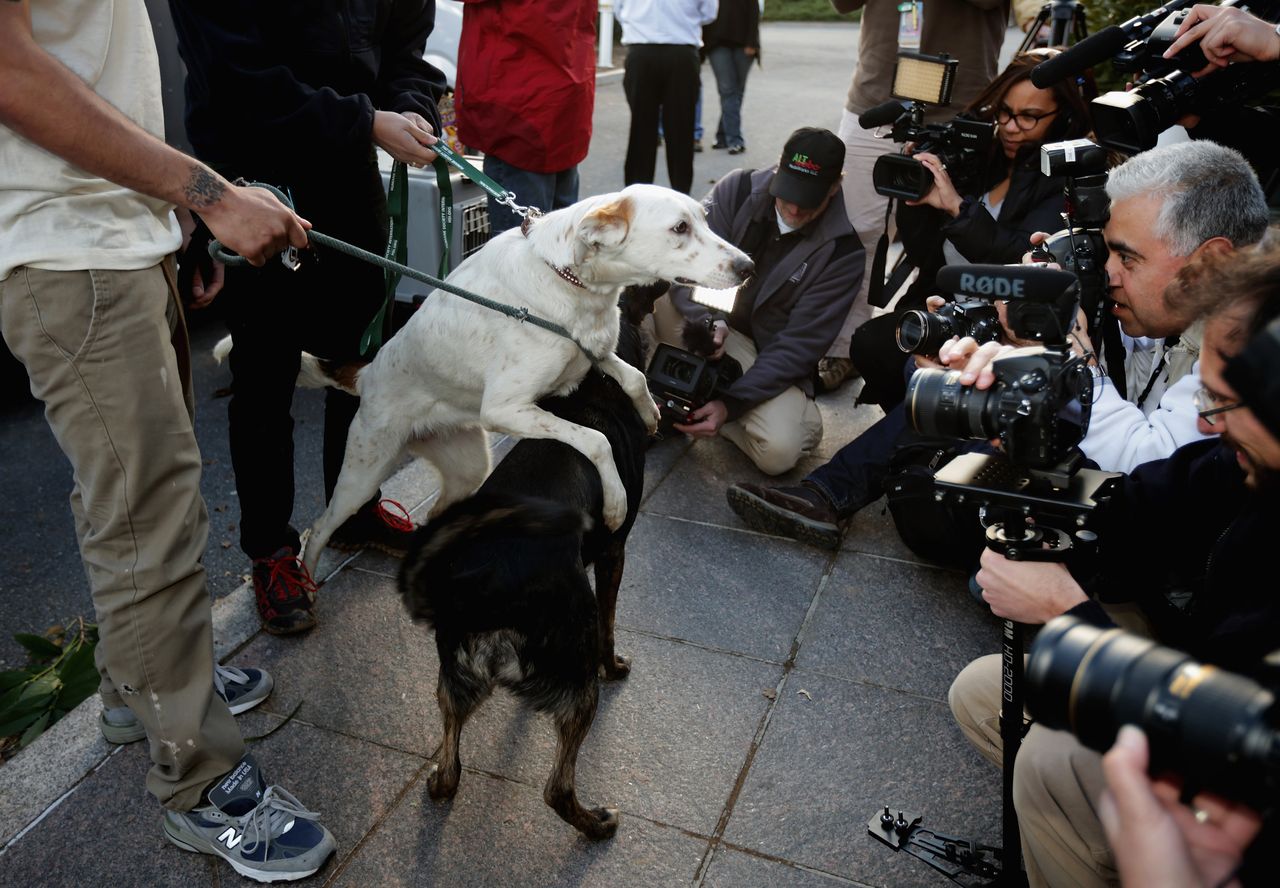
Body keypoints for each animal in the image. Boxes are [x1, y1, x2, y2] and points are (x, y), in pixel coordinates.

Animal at [257, 184, 747, 580]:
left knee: (436, 511)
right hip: (364, 469)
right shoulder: (505, 409)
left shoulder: (594, 353)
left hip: (468, 465)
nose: (748, 265)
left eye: (703, 218)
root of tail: (368, 371)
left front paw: (649, 415)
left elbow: (635, 376)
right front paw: (615, 502)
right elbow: (595, 440)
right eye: (680, 227)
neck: (568, 279)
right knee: (319, 527)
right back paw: (307, 582)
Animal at [399, 290, 655, 839]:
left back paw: (439, 782)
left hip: (452, 679)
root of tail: (489, 596)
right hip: (577, 672)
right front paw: (615, 666)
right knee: (557, 787)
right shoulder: (614, 551)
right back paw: (596, 824)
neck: (593, 386)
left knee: (451, 762)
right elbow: (610, 622)